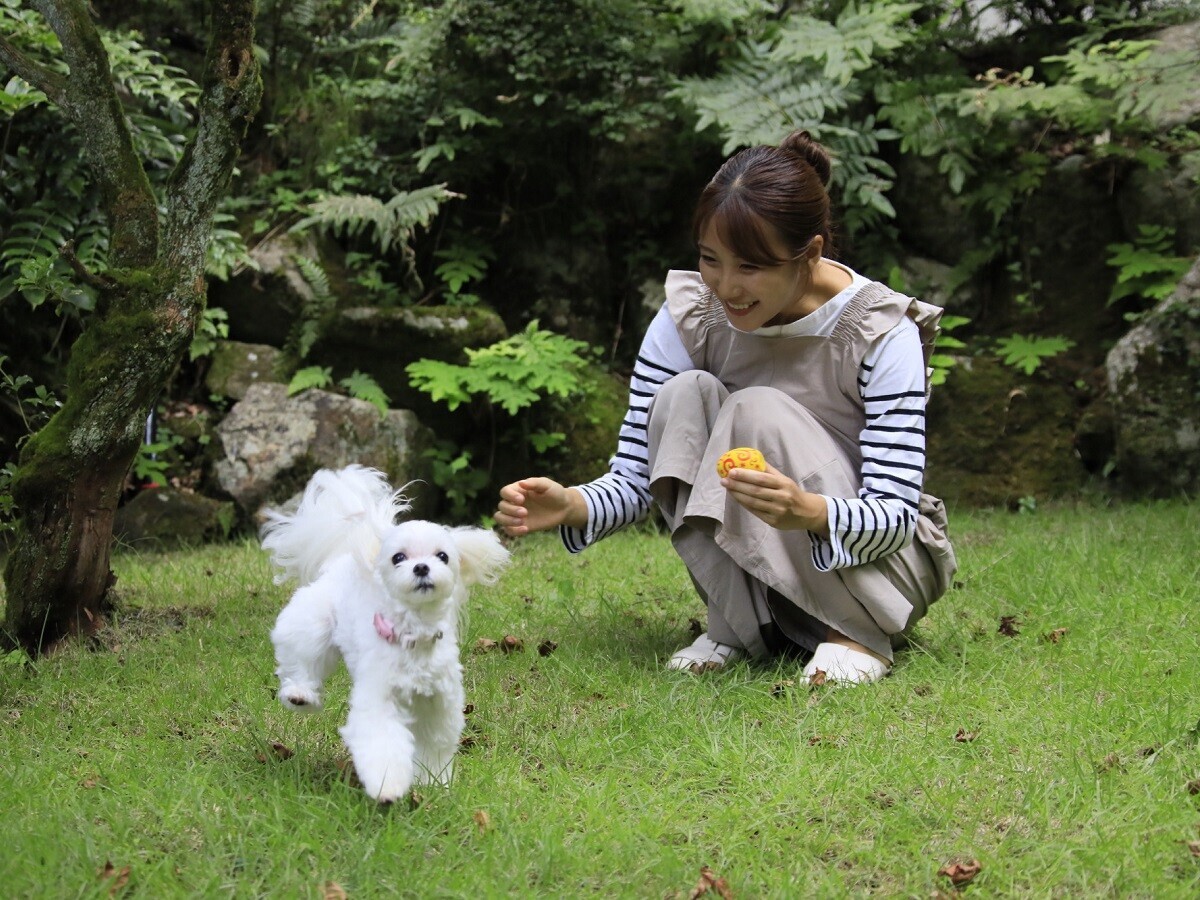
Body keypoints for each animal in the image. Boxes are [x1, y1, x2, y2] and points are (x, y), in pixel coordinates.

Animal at [260, 465, 508, 801]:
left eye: (442, 556)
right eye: (398, 557)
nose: (421, 568)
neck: (413, 635)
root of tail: (344, 556)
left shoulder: (438, 704)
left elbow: (435, 743)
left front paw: (434, 782)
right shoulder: (378, 698)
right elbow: (381, 741)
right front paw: (387, 786)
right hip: (313, 622)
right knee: (302, 660)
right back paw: (299, 695)